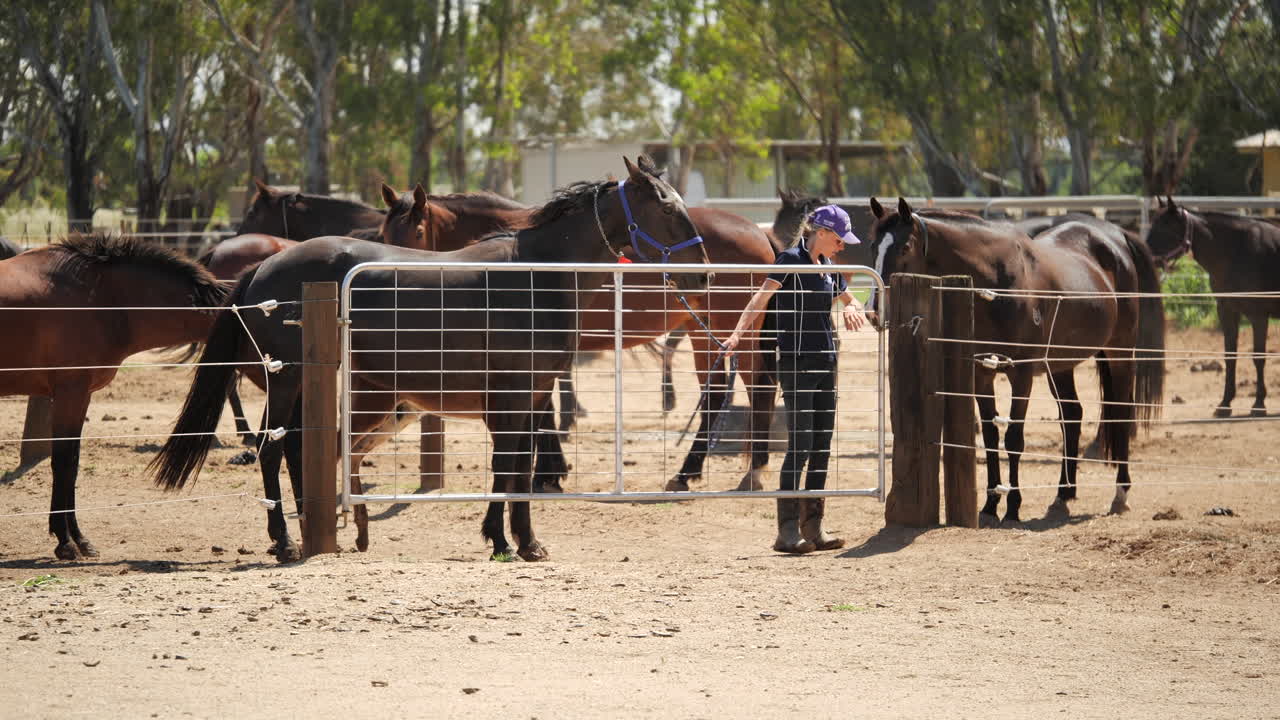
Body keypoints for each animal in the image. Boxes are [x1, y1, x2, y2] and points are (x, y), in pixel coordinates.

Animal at [0, 233, 228, 560]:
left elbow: (73, 464)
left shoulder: (80, 397)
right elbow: (64, 464)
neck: (101, 298)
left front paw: (80, 539)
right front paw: (65, 542)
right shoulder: (70, 393)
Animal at [150, 156, 710, 562]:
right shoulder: (512, 394)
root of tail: (263, 267)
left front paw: (515, 540)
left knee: (293, 448)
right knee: (270, 448)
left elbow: (517, 465)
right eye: (665, 208)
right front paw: (510, 541)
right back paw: (286, 542)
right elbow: (511, 464)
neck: (535, 277)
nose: (703, 273)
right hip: (288, 380)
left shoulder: (530, 395)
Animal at [868, 197, 1165, 524]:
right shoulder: (981, 373)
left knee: (1121, 413)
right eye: (872, 246)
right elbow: (990, 435)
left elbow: (1013, 438)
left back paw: (1120, 493)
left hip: (1119, 351)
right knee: (1072, 416)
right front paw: (989, 504)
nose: (874, 310)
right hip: (1060, 363)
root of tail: (1117, 237)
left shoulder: (1020, 373)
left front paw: (1012, 506)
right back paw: (1063, 495)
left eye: (905, 247)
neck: (999, 284)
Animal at [1146, 196, 1280, 417]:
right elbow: (1230, 356)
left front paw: (1259, 404)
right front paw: (1225, 403)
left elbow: (1258, 357)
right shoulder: (1227, 311)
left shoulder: (1258, 315)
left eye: (1165, 228)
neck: (1238, 251)